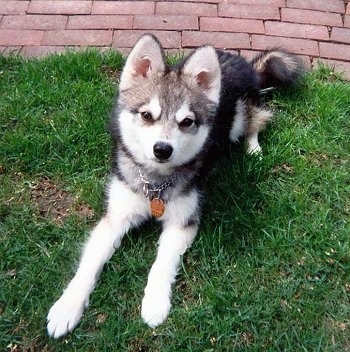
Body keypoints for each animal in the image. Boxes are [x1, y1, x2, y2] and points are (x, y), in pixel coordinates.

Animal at [46, 33, 302, 338]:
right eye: (147, 115)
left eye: (186, 121)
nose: (162, 149)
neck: (155, 183)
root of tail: (238, 58)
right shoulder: (115, 216)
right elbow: (89, 263)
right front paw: (67, 305)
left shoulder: (182, 223)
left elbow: (161, 264)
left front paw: (155, 303)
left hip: (240, 115)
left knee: (256, 123)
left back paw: (253, 149)